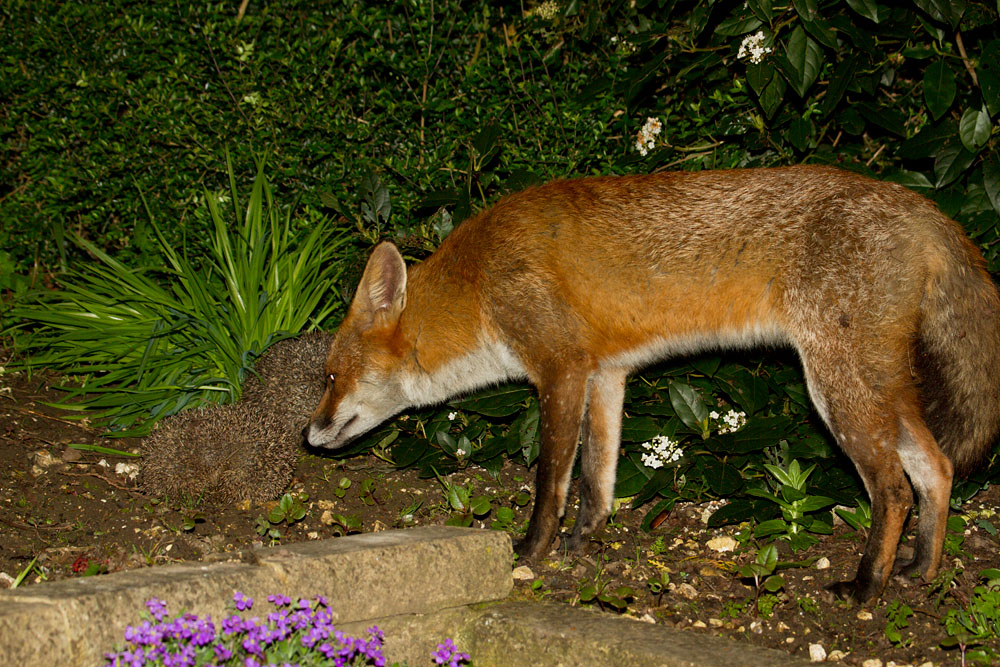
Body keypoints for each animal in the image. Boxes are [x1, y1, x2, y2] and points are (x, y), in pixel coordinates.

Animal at [307, 165, 1000, 602]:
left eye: (331, 376)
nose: (309, 434)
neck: (478, 284)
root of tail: (916, 204)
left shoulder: (559, 368)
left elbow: (551, 478)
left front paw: (531, 552)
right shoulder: (605, 374)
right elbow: (597, 476)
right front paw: (584, 542)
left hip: (838, 390)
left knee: (894, 489)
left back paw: (866, 587)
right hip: (877, 386)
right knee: (936, 468)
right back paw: (922, 569)